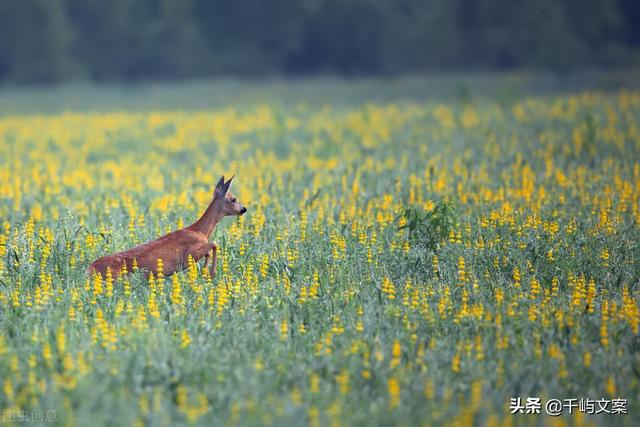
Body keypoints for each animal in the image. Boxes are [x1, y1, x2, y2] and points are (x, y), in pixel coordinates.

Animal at [89, 175, 249, 280]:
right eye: (234, 199)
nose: (244, 209)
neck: (200, 231)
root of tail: (89, 270)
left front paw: (205, 272)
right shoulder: (189, 254)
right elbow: (214, 244)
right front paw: (211, 272)